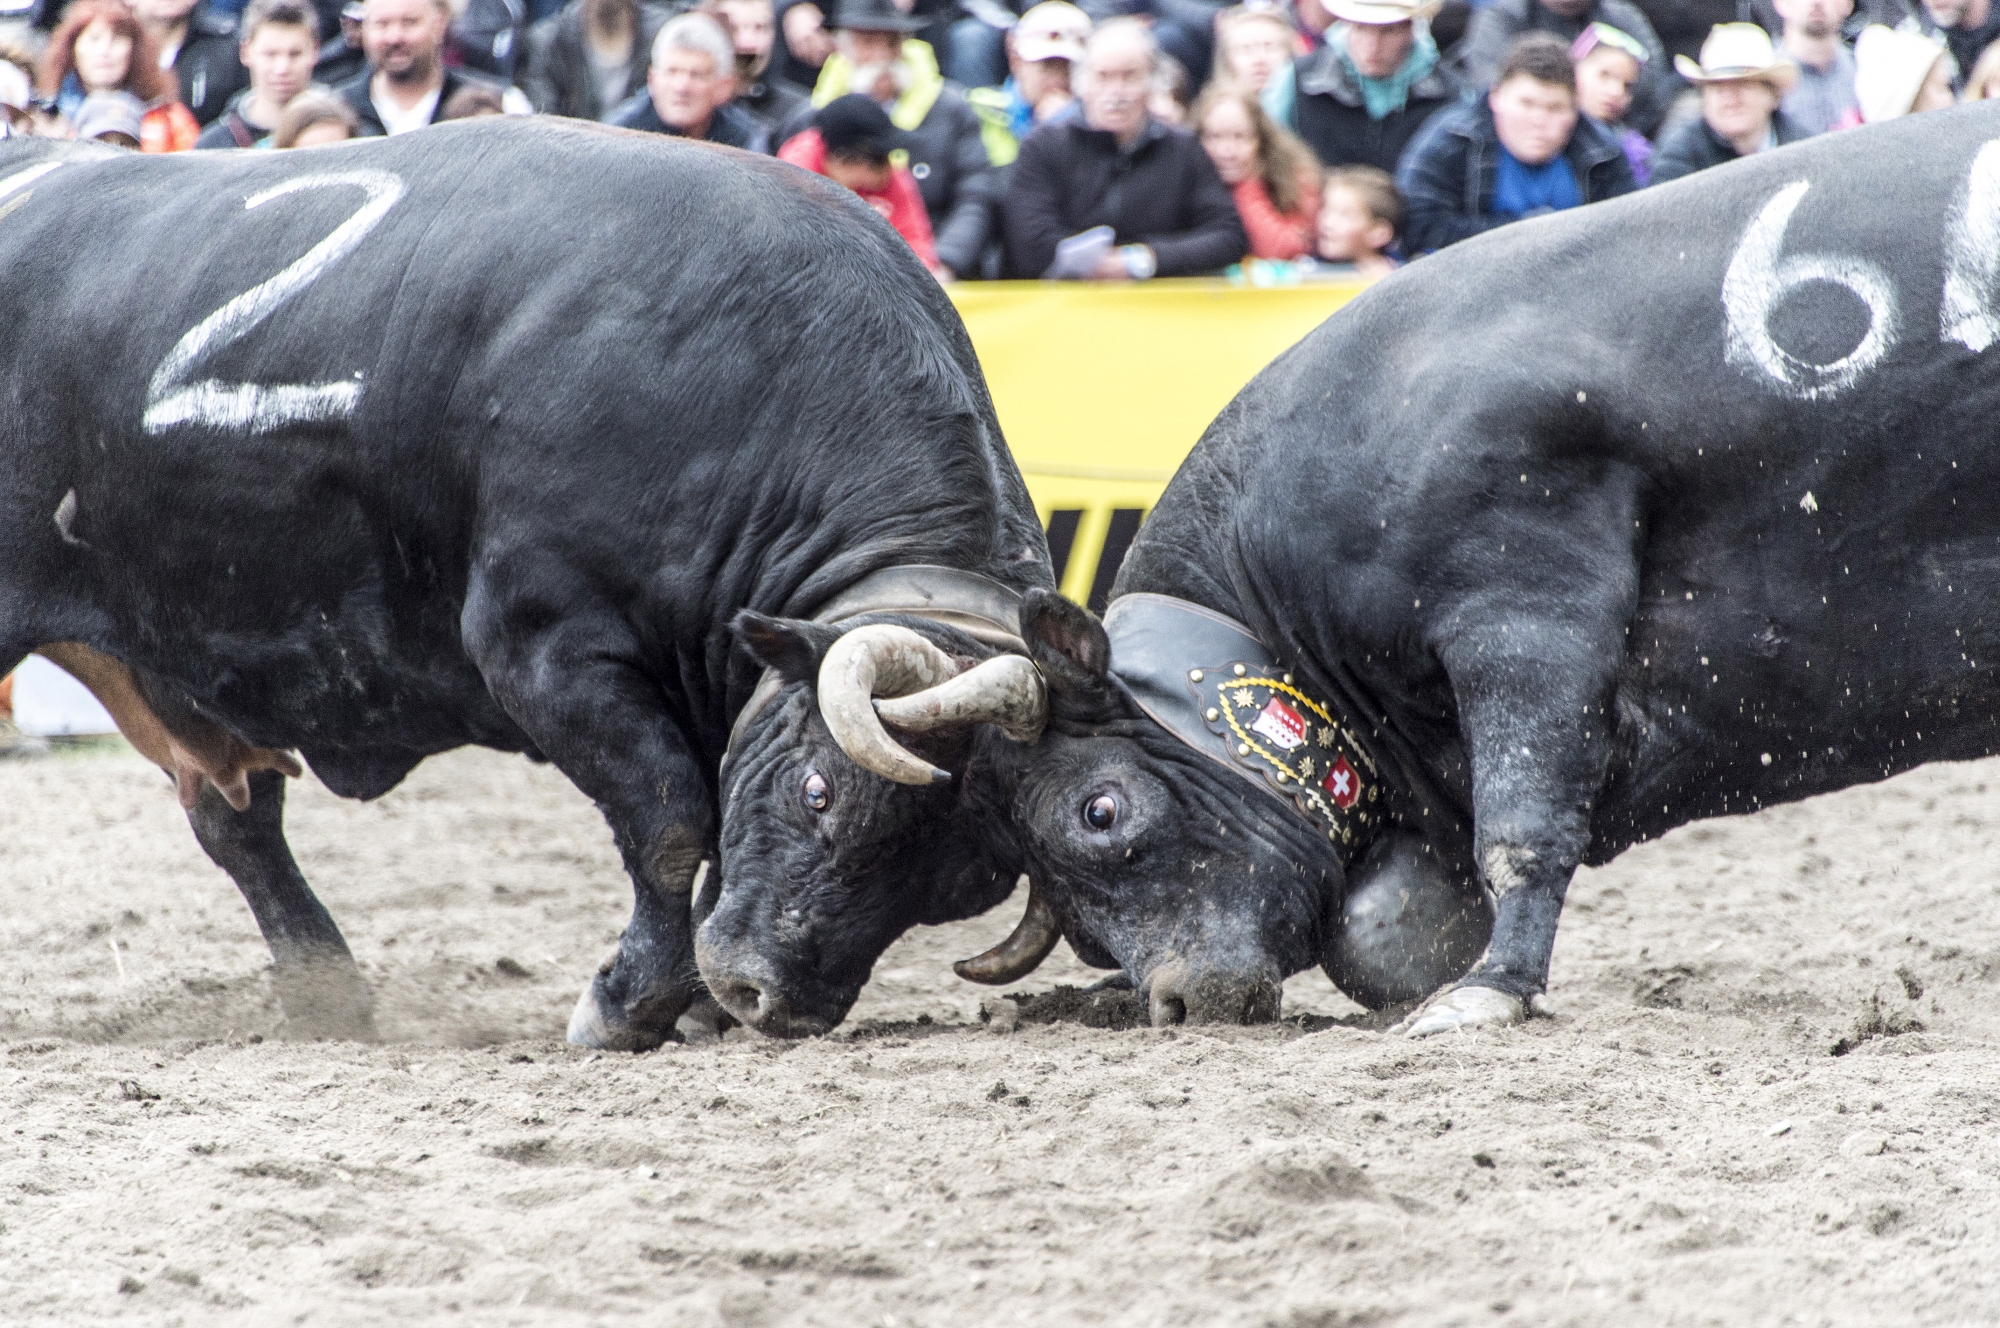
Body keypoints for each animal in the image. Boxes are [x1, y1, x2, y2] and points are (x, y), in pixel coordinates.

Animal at [0, 119, 1056, 1040]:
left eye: (954, 886)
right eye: (818, 791)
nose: (772, 997)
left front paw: (693, 1007)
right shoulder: (548, 650)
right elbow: (673, 824)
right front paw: (630, 1003)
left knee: (240, 823)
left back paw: (326, 995)